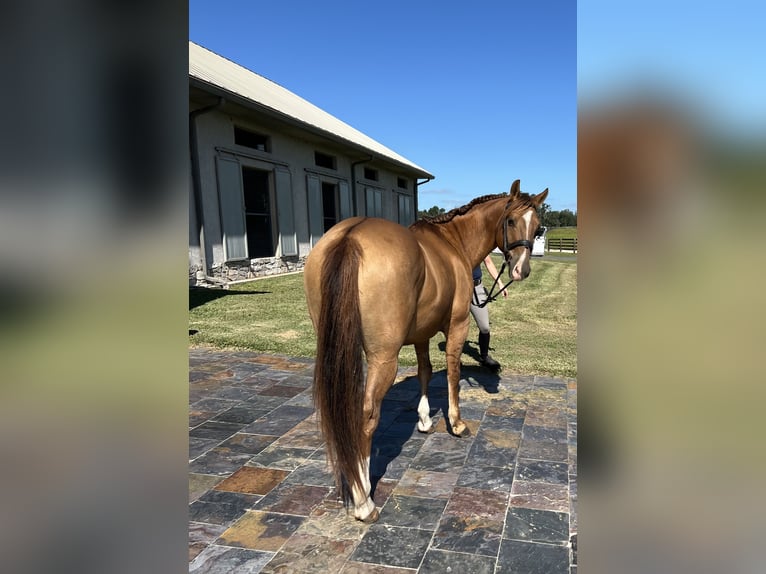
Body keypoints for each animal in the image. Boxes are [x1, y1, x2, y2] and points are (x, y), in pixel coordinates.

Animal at [304, 181, 548, 528]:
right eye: (511, 221)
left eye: (537, 225)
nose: (521, 269)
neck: (451, 242)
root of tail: (350, 238)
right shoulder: (457, 325)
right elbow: (453, 374)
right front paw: (456, 423)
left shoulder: (421, 334)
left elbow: (424, 372)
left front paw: (423, 419)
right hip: (383, 358)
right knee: (366, 415)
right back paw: (364, 501)